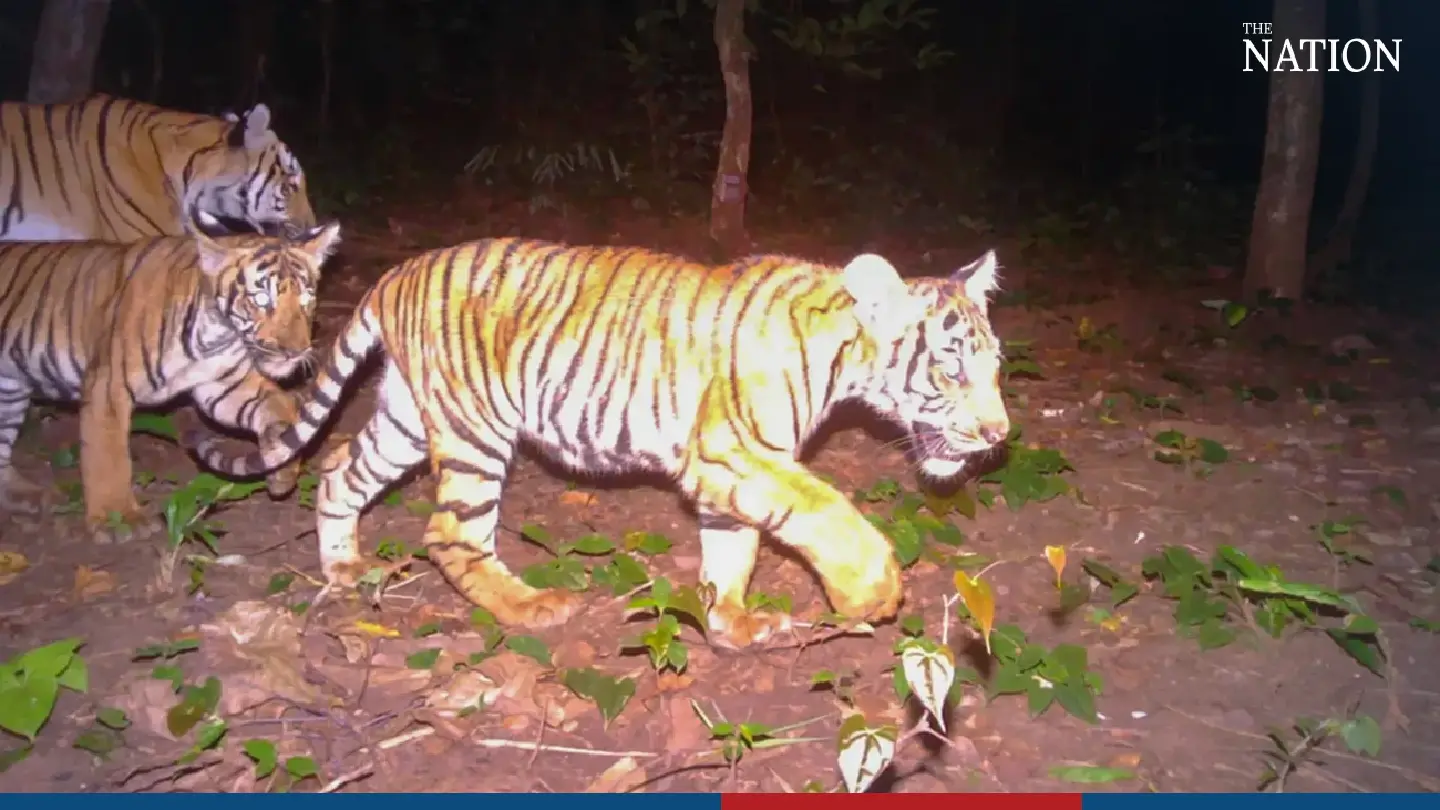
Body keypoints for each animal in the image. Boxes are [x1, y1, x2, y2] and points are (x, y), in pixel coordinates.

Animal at [0, 211, 341, 544]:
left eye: (307, 299)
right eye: (260, 300)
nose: (295, 351)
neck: (215, 335)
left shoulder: (223, 385)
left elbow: (279, 404)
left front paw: (282, 467)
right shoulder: (107, 387)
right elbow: (108, 456)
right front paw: (117, 520)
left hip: (9, 392)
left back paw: (26, 495)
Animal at [182, 238, 1011, 649]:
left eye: (998, 364)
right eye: (952, 365)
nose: (1000, 434)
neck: (843, 355)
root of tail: (397, 273)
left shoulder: (730, 470)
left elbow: (732, 548)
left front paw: (732, 625)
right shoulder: (736, 450)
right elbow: (824, 509)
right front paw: (869, 592)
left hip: (409, 419)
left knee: (338, 470)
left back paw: (344, 569)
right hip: (475, 432)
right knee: (450, 533)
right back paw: (531, 608)